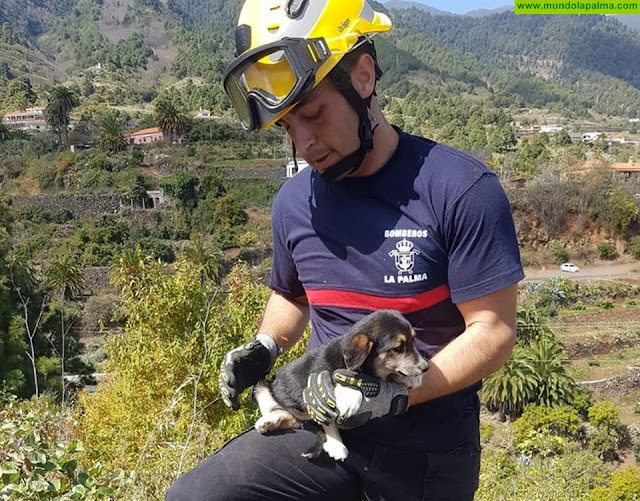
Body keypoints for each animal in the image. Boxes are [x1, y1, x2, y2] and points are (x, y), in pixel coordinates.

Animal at [252, 308, 428, 460]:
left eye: (413, 340)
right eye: (398, 348)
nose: (425, 367)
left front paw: (411, 378)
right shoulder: (318, 394)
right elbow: (330, 422)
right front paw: (337, 445)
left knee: (292, 418)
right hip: (261, 386)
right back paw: (268, 421)